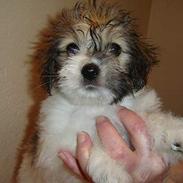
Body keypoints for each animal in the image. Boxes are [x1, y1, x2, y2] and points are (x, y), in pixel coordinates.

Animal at [16, 0, 183, 182]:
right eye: (72, 47)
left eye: (115, 48)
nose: (89, 70)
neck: (95, 105)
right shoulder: (54, 147)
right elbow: (87, 146)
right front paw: (113, 172)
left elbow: (149, 119)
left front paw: (173, 130)